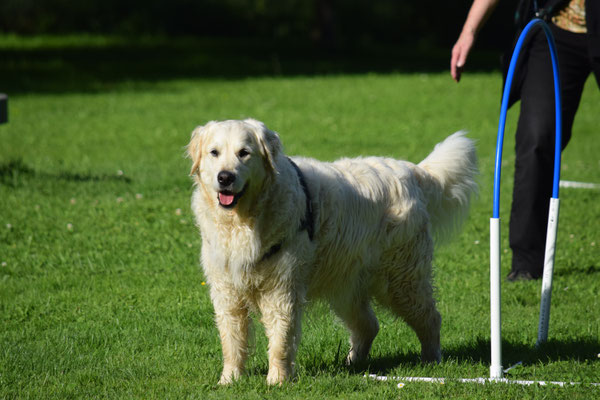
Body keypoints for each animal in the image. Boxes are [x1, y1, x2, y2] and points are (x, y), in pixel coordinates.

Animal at [188, 119, 478, 384]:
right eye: (214, 152)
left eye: (244, 153)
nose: (225, 177)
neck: (242, 221)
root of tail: (410, 171)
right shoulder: (226, 291)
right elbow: (232, 341)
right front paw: (229, 380)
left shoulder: (282, 289)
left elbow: (280, 339)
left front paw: (277, 381)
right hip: (347, 285)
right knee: (368, 325)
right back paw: (353, 363)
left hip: (402, 281)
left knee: (430, 318)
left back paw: (431, 361)